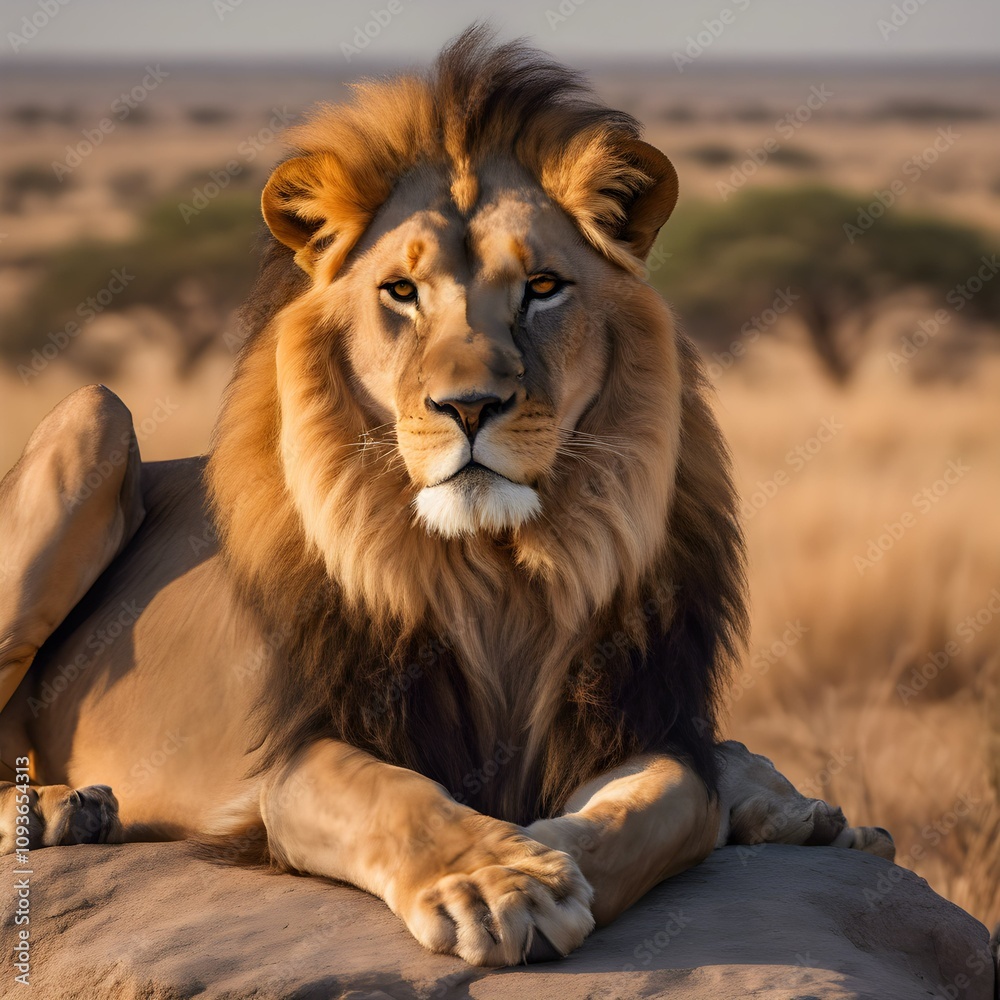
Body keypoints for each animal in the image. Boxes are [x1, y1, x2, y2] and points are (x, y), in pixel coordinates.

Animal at [0, 28, 893, 967]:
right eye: (401, 292)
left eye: (543, 287)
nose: (470, 407)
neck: (495, 567)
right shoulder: (299, 755)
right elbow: (393, 794)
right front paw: (494, 881)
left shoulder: (636, 718)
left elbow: (665, 804)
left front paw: (547, 854)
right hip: (94, 414)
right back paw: (63, 807)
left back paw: (808, 814)